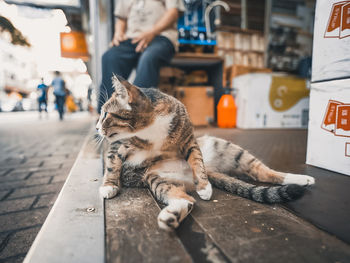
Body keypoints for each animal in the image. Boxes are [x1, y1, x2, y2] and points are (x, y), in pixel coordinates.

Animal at [95, 75, 314, 232]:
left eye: (105, 114)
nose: (97, 127)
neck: (150, 129)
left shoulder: (189, 139)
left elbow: (196, 159)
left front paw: (204, 186)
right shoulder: (116, 145)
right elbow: (113, 164)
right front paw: (109, 186)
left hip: (224, 147)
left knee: (260, 171)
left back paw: (301, 178)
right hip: (155, 178)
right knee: (186, 200)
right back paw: (170, 217)